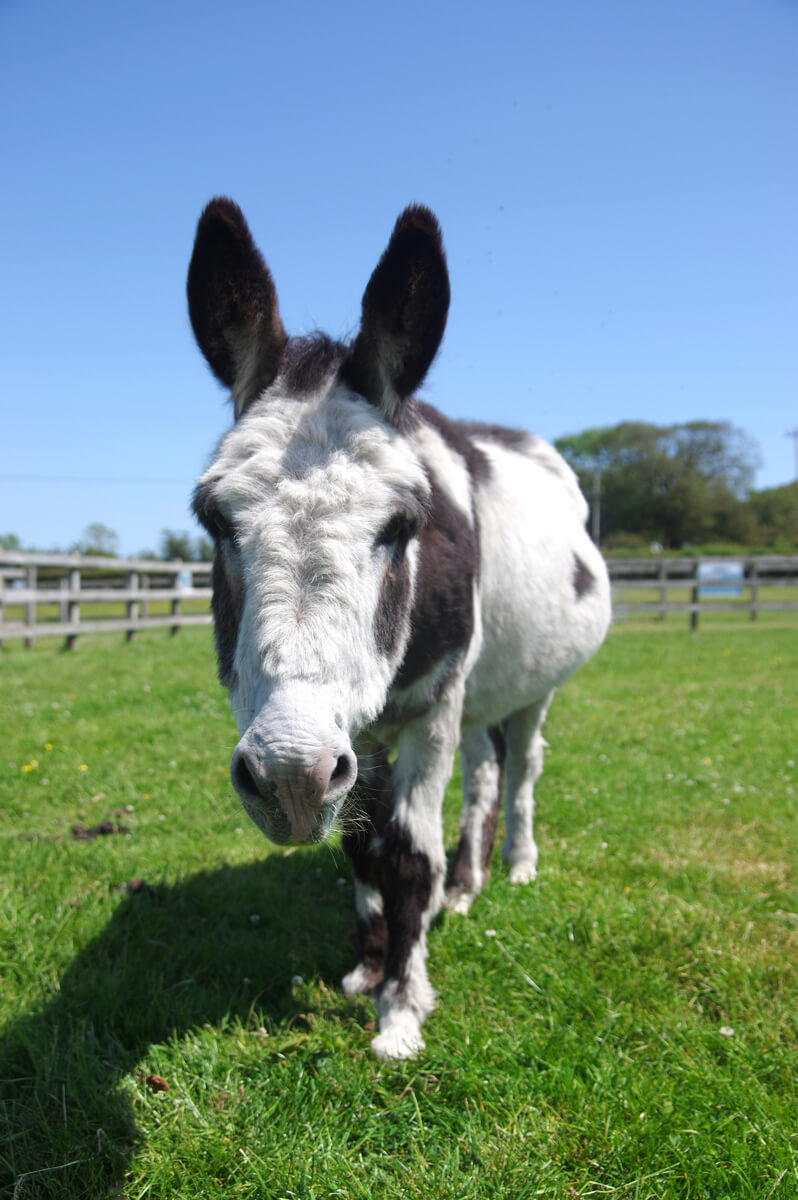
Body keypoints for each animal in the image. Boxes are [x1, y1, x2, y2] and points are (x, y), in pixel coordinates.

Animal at [187, 199, 611, 1059]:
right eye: (214, 519)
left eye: (402, 525)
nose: (288, 776)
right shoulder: (361, 740)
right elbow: (362, 848)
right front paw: (367, 967)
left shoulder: (425, 713)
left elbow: (408, 858)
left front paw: (401, 1011)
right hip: (477, 698)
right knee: (485, 771)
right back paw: (467, 887)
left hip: (531, 689)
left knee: (523, 767)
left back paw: (515, 866)